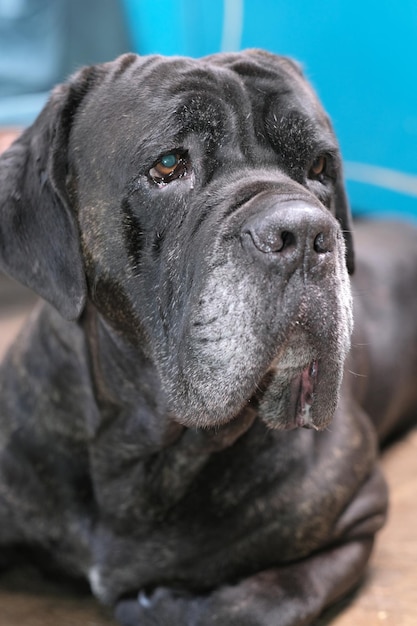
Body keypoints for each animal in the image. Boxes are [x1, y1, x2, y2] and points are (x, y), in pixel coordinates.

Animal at [0, 50, 414, 624]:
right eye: (169, 165)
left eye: (318, 168)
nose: (305, 232)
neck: (145, 451)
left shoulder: (358, 512)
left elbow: (264, 601)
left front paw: (167, 605)